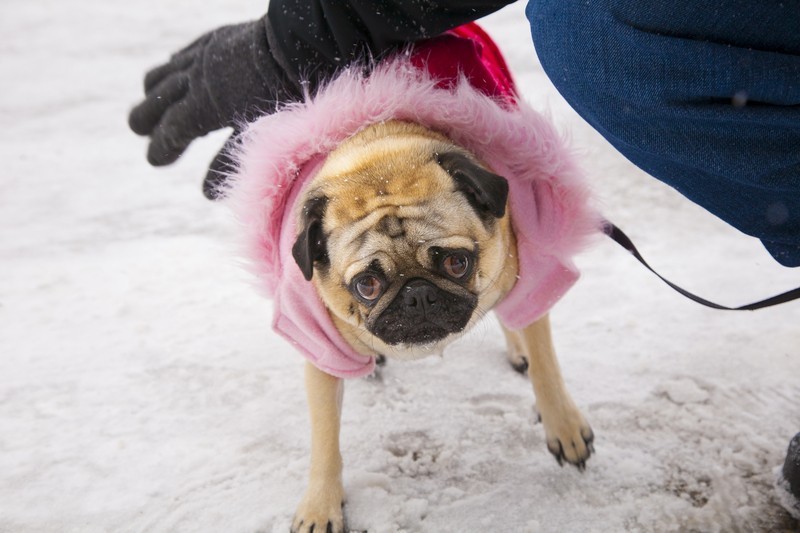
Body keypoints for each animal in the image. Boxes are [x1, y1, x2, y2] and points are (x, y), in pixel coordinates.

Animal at [288, 120, 592, 532]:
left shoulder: (526, 274)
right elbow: (324, 437)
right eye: (367, 285)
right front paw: (321, 506)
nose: (417, 294)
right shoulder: (323, 348)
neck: (377, 153)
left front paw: (563, 425)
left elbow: (546, 366)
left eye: (456, 263)